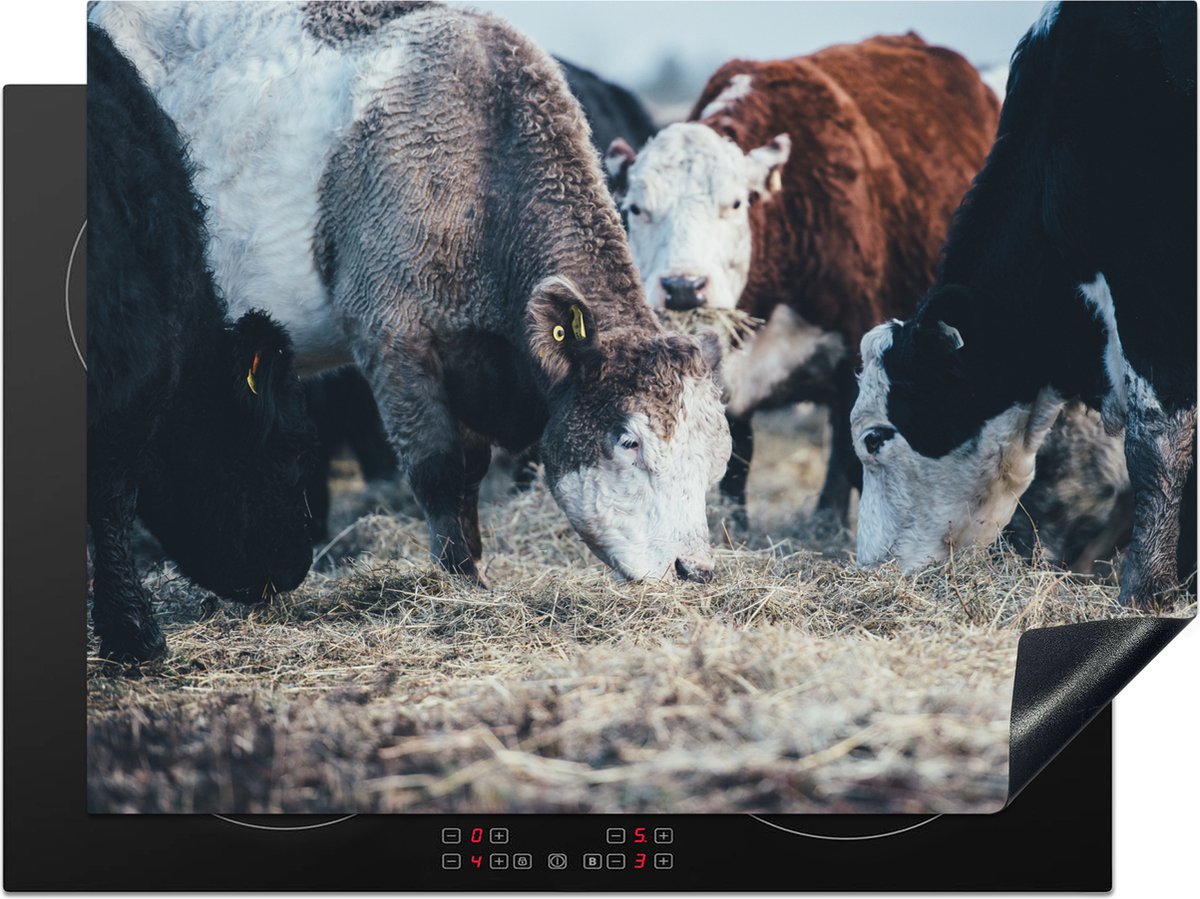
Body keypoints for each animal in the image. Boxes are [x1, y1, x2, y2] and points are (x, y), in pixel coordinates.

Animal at [90, 2, 731, 585]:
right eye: (628, 441)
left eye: (716, 456)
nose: (694, 569)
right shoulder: (392, 338)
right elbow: (441, 469)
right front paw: (462, 582)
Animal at [605, 34, 1000, 528]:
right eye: (636, 208)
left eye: (735, 203)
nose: (683, 287)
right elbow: (735, 456)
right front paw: (734, 526)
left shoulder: (858, 349)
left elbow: (853, 451)